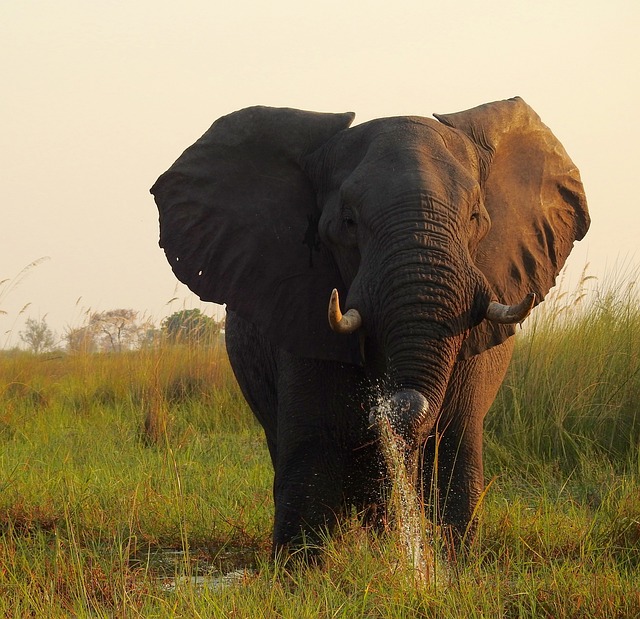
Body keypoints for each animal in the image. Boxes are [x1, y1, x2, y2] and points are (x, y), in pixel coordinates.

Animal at [151, 97, 592, 556]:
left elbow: (454, 457)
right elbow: (312, 459)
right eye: (348, 222)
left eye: (475, 217)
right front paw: (302, 571)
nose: (400, 401)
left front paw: (452, 567)